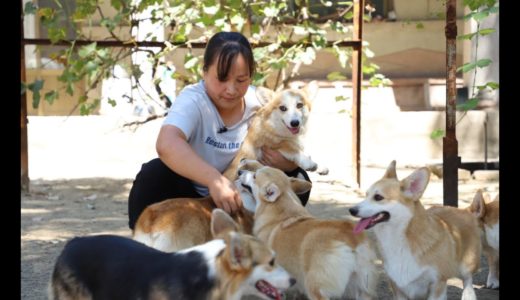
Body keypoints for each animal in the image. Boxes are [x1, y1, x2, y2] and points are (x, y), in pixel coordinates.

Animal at [239, 159, 378, 300]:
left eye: (255, 176)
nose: (240, 171)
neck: (283, 209)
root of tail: (351, 239)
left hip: (315, 288)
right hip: (362, 288)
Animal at [348, 161, 482, 298]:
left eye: (378, 197)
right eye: (366, 195)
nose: (351, 210)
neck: (399, 238)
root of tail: (465, 210)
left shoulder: (437, 284)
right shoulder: (398, 287)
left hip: (466, 264)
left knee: (467, 279)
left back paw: (469, 295)